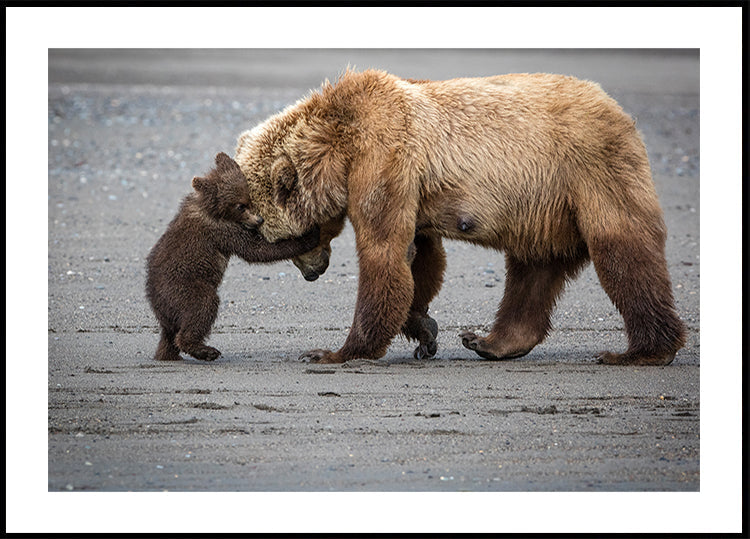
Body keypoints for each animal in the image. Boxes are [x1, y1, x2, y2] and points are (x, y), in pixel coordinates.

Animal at [145, 152, 320, 362]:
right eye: (240, 206)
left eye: (249, 199)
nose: (259, 220)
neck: (212, 209)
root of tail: (156, 305)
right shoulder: (222, 230)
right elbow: (256, 250)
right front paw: (309, 235)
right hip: (182, 288)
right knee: (202, 306)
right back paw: (205, 350)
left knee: (169, 336)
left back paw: (168, 354)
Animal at [234, 69, 687, 366]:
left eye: (280, 237)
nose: (313, 273)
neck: (338, 144)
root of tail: (618, 109)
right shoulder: (410, 185)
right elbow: (419, 257)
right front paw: (424, 330)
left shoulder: (384, 157)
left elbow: (384, 252)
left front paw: (335, 351)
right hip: (543, 208)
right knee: (533, 269)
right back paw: (489, 341)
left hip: (589, 170)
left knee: (623, 250)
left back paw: (642, 351)